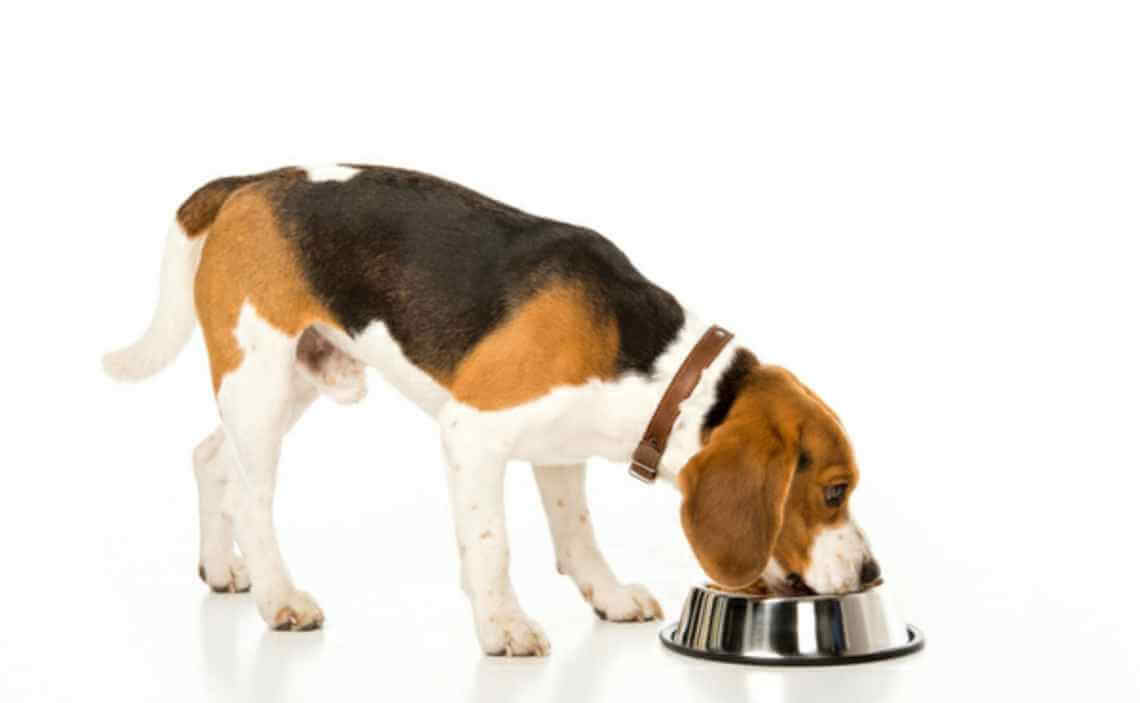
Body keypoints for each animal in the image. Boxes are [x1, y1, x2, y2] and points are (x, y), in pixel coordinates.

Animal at [102, 164, 875, 651]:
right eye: (834, 492)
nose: (870, 575)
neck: (658, 370)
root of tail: (250, 182)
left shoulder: (560, 452)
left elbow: (578, 536)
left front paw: (608, 596)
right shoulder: (471, 433)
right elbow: (492, 545)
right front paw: (503, 625)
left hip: (287, 382)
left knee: (211, 458)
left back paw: (221, 570)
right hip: (260, 381)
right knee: (250, 499)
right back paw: (279, 597)